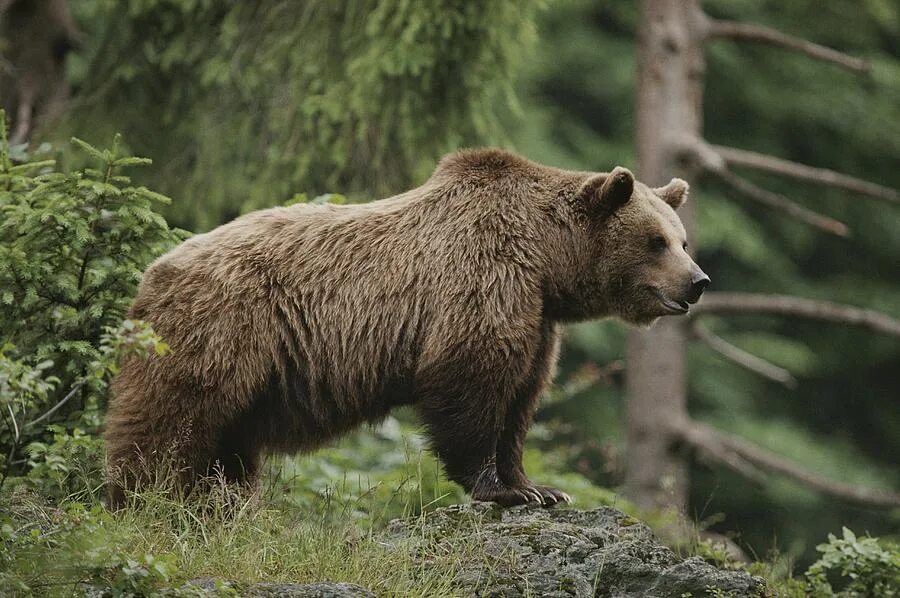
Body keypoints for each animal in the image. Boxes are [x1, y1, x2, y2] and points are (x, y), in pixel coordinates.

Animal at [103, 150, 712, 510]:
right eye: (656, 240)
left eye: (682, 238)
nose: (698, 281)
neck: (545, 261)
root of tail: (151, 271)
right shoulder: (484, 279)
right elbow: (470, 381)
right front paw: (500, 490)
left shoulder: (538, 319)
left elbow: (520, 400)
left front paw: (538, 487)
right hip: (220, 329)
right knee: (172, 420)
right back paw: (142, 500)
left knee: (226, 448)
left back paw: (220, 506)